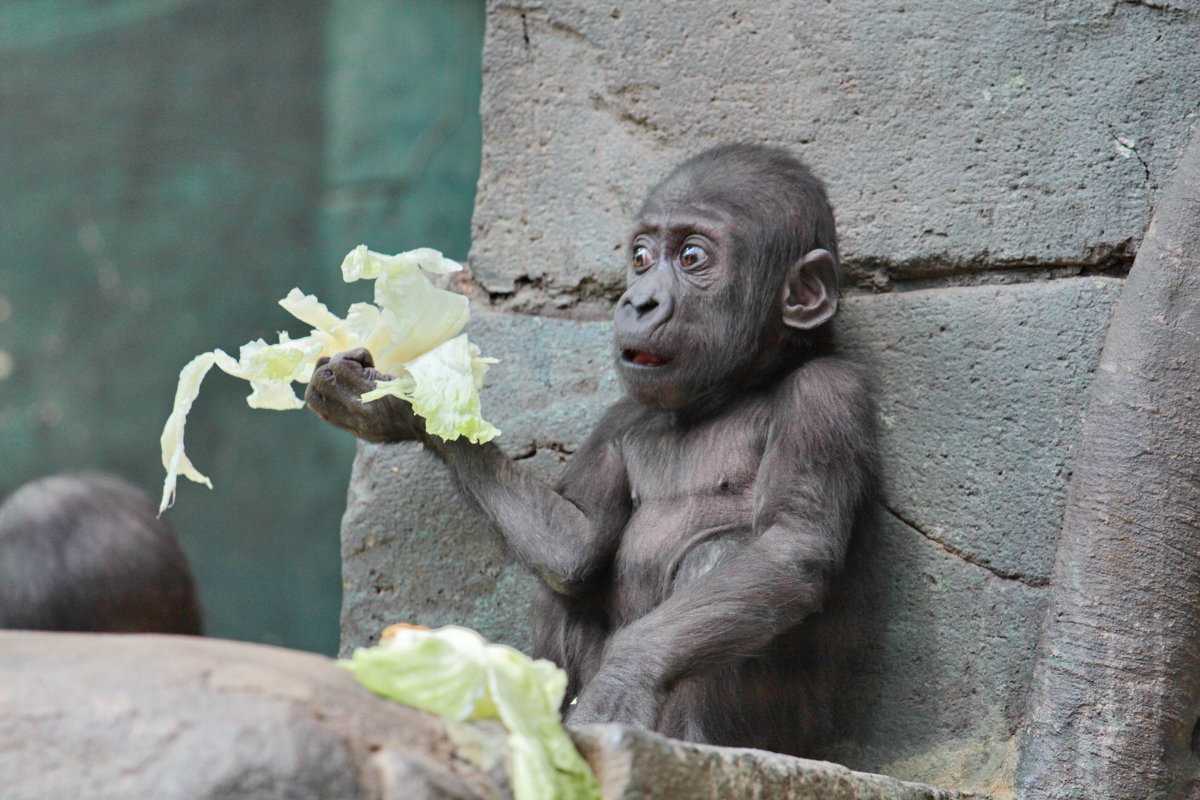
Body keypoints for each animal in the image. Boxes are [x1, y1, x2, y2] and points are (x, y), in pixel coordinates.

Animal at [304, 143, 878, 758]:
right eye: (642, 257)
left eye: (692, 257)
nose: (640, 300)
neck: (731, 390)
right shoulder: (616, 421)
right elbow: (575, 547)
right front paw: (395, 403)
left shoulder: (825, 397)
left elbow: (789, 547)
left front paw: (628, 674)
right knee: (564, 585)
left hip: (791, 738)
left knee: (722, 558)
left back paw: (698, 742)